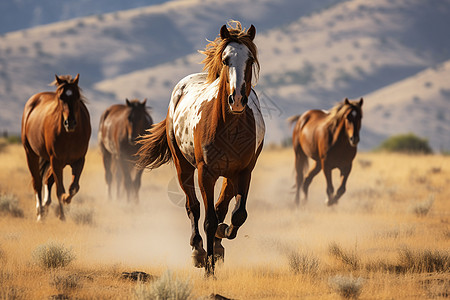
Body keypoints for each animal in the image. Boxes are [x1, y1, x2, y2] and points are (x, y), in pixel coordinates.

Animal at [21, 74, 91, 221]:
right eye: (60, 97)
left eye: (77, 96)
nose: (70, 122)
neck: (70, 136)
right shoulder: (56, 160)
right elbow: (60, 190)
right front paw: (62, 215)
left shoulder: (79, 160)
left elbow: (73, 187)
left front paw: (66, 200)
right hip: (31, 154)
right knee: (37, 182)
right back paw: (40, 213)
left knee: (47, 180)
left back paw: (45, 207)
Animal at [136, 20, 264, 274]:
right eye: (225, 59)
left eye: (250, 60)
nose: (236, 100)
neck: (230, 128)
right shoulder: (206, 173)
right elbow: (209, 220)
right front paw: (208, 269)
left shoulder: (244, 172)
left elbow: (237, 215)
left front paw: (221, 237)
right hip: (183, 167)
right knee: (193, 207)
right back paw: (197, 251)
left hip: (229, 175)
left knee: (222, 207)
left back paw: (217, 246)